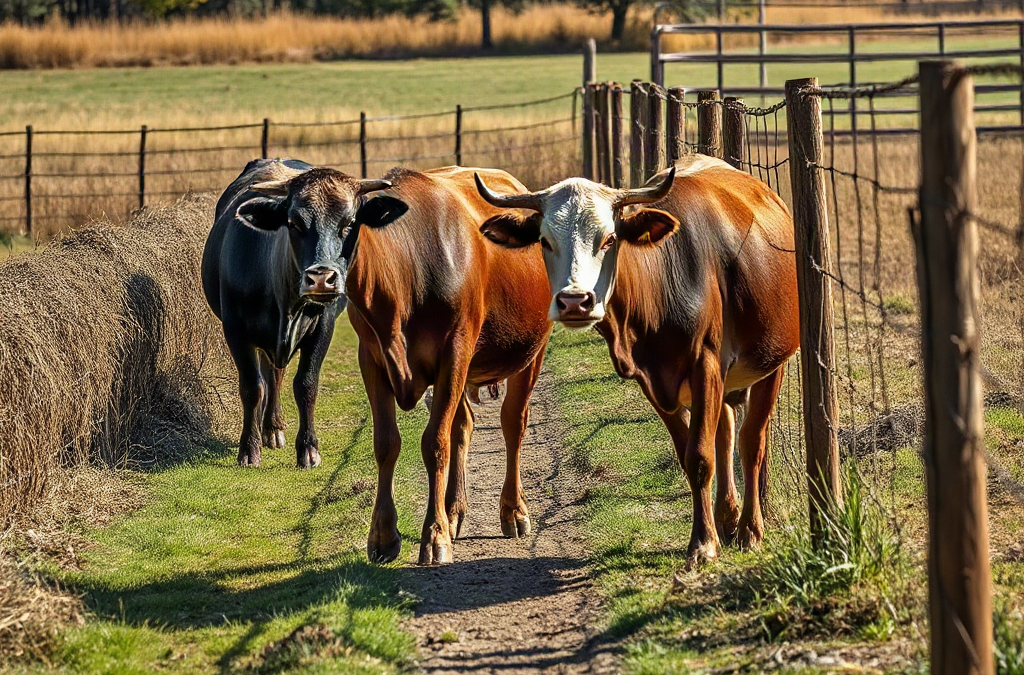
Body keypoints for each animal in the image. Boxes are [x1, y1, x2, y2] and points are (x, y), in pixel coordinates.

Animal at [202, 159, 408, 469]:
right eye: (294, 223)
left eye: (349, 223)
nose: (321, 278)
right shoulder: (235, 330)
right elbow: (252, 387)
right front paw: (248, 449)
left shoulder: (323, 327)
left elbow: (306, 384)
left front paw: (308, 449)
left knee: (277, 373)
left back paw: (273, 428)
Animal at [345, 166, 552, 566]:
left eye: (348, 223)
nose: (318, 276)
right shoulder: (372, 357)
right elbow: (386, 443)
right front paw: (382, 536)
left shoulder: (454, 350)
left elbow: (434, 443)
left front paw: (434, 536)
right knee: (464, 425)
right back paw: (454, 511)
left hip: (530, 352)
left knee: (513, 422)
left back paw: (513, 510)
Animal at [474, 156, 800, 566]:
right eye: (545, 241)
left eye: (609, 239)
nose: (574, 301)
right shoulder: (653, 381)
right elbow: (690, 456)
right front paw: (709, 533)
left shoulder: (706, 364)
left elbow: (701, 456)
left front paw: (703, 543)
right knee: (726, 432)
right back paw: (727, 517)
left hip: (773, 361)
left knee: (752, 440)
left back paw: (749, 529)